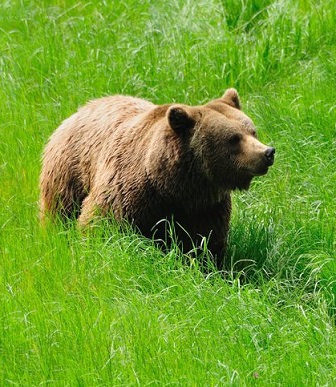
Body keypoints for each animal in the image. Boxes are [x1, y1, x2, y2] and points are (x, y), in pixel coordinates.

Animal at [40, 88, 274, 270]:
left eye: (252, 131)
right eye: (233, 139)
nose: (268, 152)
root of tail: (80, 110)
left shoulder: (205, 207)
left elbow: (204, 243)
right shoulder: (127, 193)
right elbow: (101, 224)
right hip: (68, 172)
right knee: (59, 211)